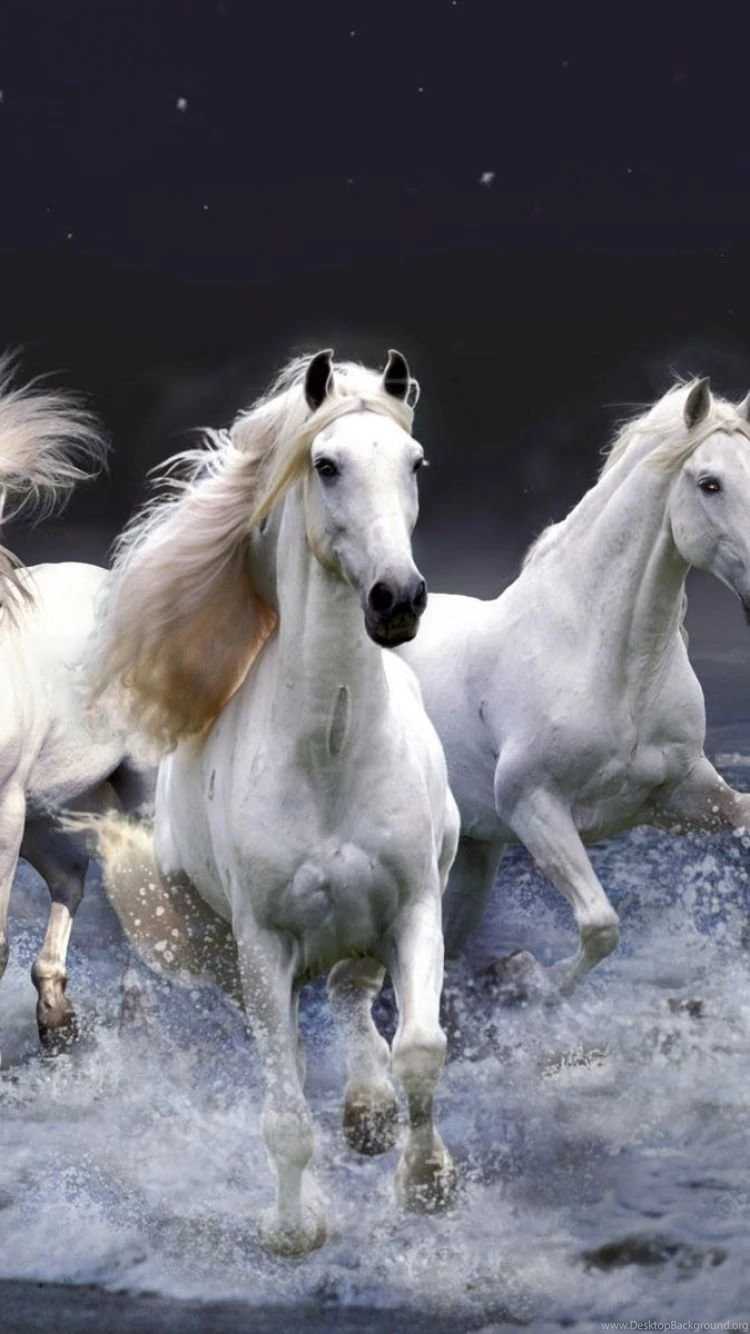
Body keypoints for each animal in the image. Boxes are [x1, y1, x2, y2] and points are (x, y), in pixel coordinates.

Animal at [86, 349, 460, 1257]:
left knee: (354, 996)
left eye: (415, 463)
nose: (397, 599)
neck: (330, 749)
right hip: (227, 950)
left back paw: (368, 1113)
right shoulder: (262, 946)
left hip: (368, 926)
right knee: (301, 1028)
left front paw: (426, 1184)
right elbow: (285, 1109)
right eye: (325, 465)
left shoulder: (414, 905)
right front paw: (295, 1229)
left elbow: (420, 1048)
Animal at [397, 376, 750, 1000]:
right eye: (710, 483)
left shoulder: (684, 793)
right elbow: (601, 926)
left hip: (473, 854)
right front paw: (523, 976)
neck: (609, 663)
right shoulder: (534, 805)